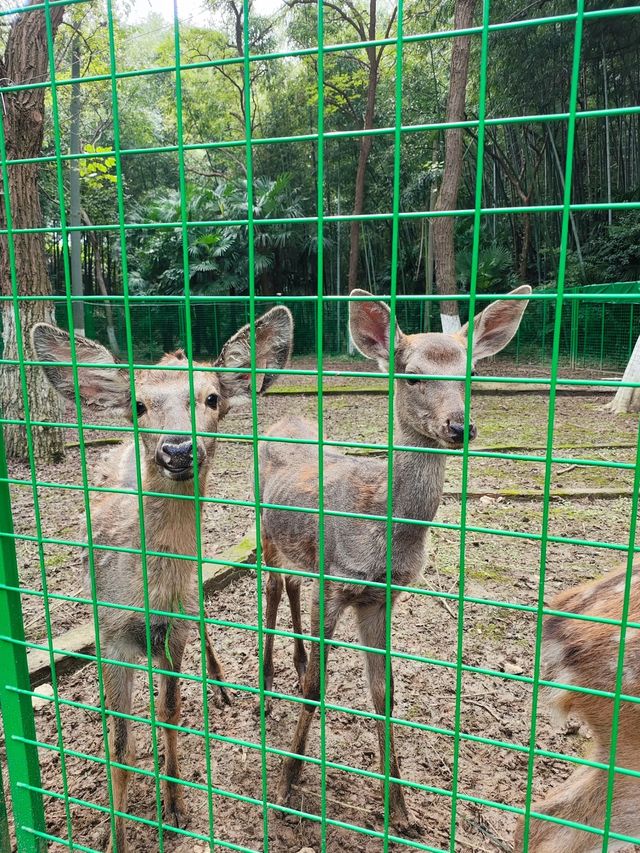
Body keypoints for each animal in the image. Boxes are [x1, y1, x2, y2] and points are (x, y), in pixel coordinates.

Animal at [32, 308, 296, 852]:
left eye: (212, 398)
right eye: (138, 404)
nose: (177, 449)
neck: (148, 593)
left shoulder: (174, 629)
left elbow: (171, 714)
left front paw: (174, 805)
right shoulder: (110, 635)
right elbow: (120, 746)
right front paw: (115, 836)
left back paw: (220, 683)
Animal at [258, 284, 532, 824]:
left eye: (472, 373)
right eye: (412, 375)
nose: (460, 426)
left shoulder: (381, 598)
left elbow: (384, 696)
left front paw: (401, 811)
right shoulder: (338, 581)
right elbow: (317, 689)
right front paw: (284, 787)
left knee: (293, 583)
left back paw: (294, 662)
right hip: (260, 524)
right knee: (274, 586)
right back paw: (265, 687)